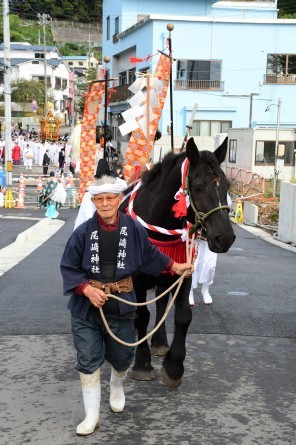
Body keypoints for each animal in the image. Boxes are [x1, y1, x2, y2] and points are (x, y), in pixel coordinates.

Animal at [119, 137, 235, 386]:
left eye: (227, 185)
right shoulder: (138, 279)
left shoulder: (183, 271)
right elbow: (141, 317)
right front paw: (142, 364)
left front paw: (173, 366)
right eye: (198, 187)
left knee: (162, 304)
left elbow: (183, 316)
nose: (225, 238)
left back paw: (160, 343)